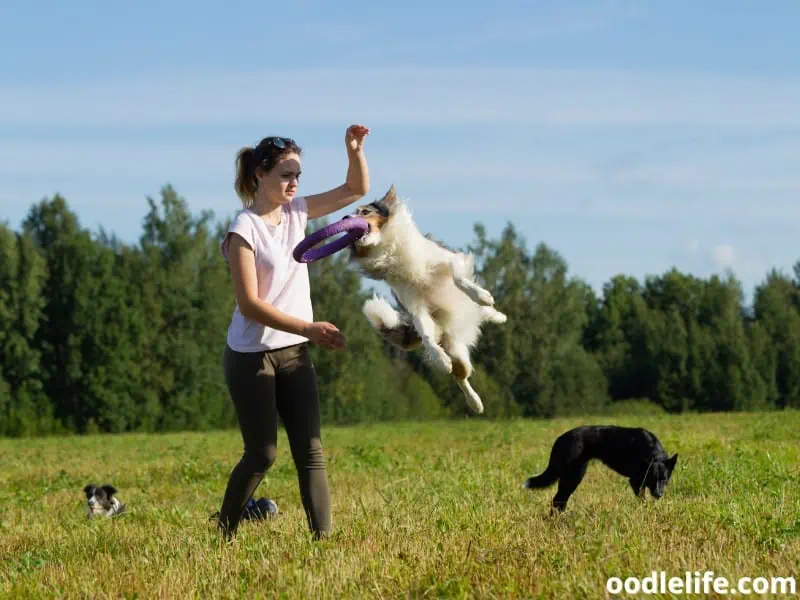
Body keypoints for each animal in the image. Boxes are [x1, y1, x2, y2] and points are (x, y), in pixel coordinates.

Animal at [520, 426, 680, 510]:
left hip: (575, 474)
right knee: (557, 500)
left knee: (560, 500)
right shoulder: (635, 481)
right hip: (573, 476)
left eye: (664, 479)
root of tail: (561, 438)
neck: (652, 451)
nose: (659, 495)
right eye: (652, 479)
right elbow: (642, 499)